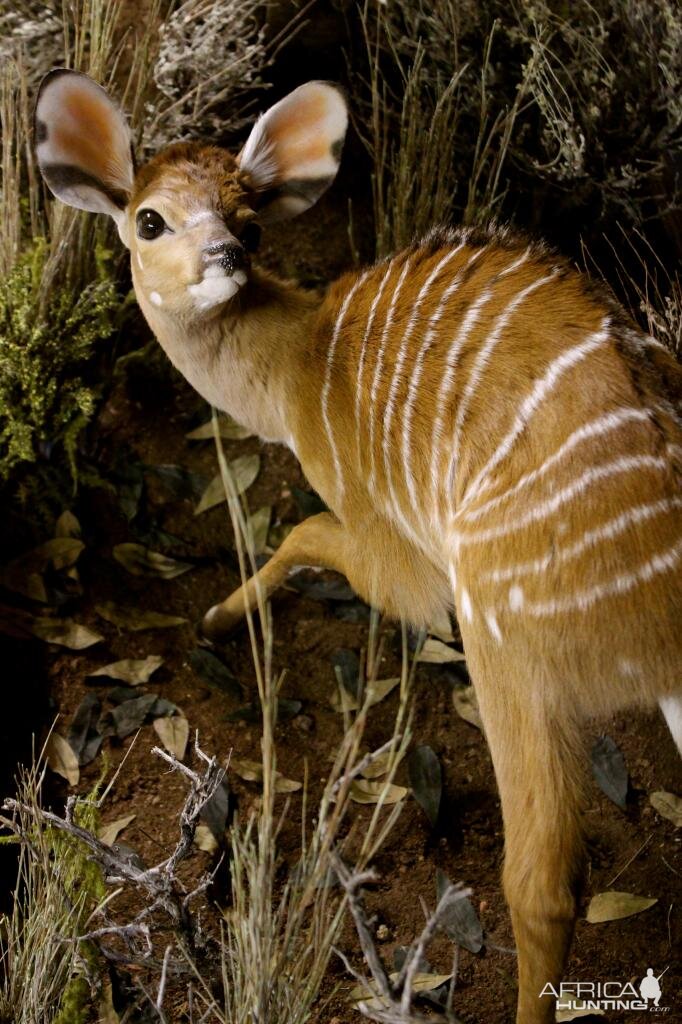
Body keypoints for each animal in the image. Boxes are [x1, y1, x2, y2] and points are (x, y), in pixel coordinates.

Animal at [35, 72, 679, 1024]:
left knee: (541, 886)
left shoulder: (403, 560)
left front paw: (218, 616)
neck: (302, 362)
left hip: (508, 649)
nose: (226, 254)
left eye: (249, 219)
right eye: (150, 218)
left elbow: (306, 530)